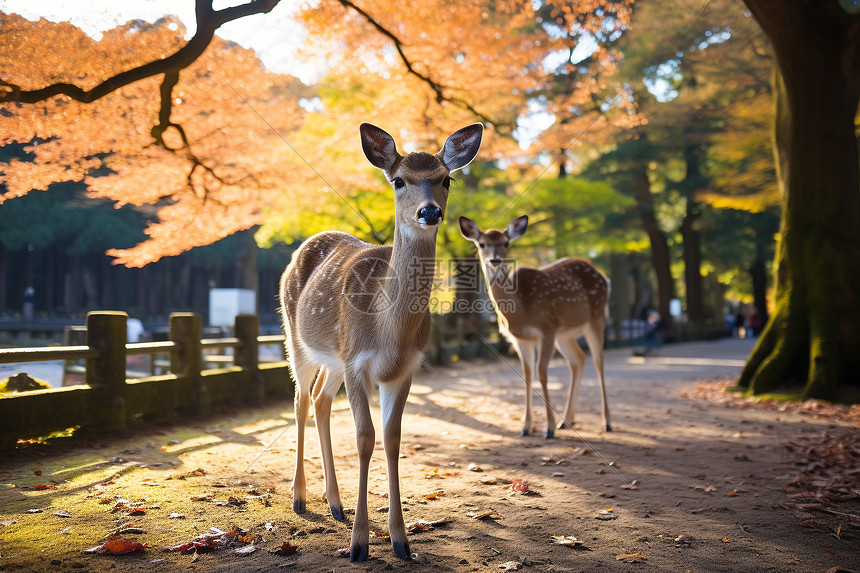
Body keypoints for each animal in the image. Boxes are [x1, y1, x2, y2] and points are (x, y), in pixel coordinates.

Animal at [280, 123, 484, 560]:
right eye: (398, 180)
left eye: (446, 179)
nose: (429, 211)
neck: (389, 332)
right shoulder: (358, 363)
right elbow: (364, 439)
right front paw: (359, 544)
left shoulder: (404, 369)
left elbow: (392, 440)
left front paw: (401, 541)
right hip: (296, 339)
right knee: (301, 400)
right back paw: (300, 498)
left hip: (334, 359)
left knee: (321, 400)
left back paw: (335, 504)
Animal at [456, 217, 612, 436]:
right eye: (482, 244)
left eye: (506, 243)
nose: (495, 260)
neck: (521, 310)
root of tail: (603, 277)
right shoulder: (521, 338)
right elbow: (527, 375)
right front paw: (526, 427)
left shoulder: (546, 328)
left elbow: (542, 373)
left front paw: (548, 429)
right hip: (565, 333)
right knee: (578, 359)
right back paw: (566, 421)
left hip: (596, 318)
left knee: (598, 361)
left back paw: (606, 423)